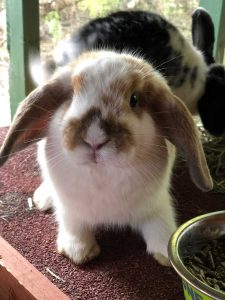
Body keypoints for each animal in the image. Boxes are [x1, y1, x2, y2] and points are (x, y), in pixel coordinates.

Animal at [0, 50, 213, 266]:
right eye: (72, 96)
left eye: (134, 99)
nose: (94, 138)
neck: (102, 173)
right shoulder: (70, 209)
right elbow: (73, 223)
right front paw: (78, 251)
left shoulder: (156, 204)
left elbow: (159, 223)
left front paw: (165, 251)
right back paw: (43, 199)